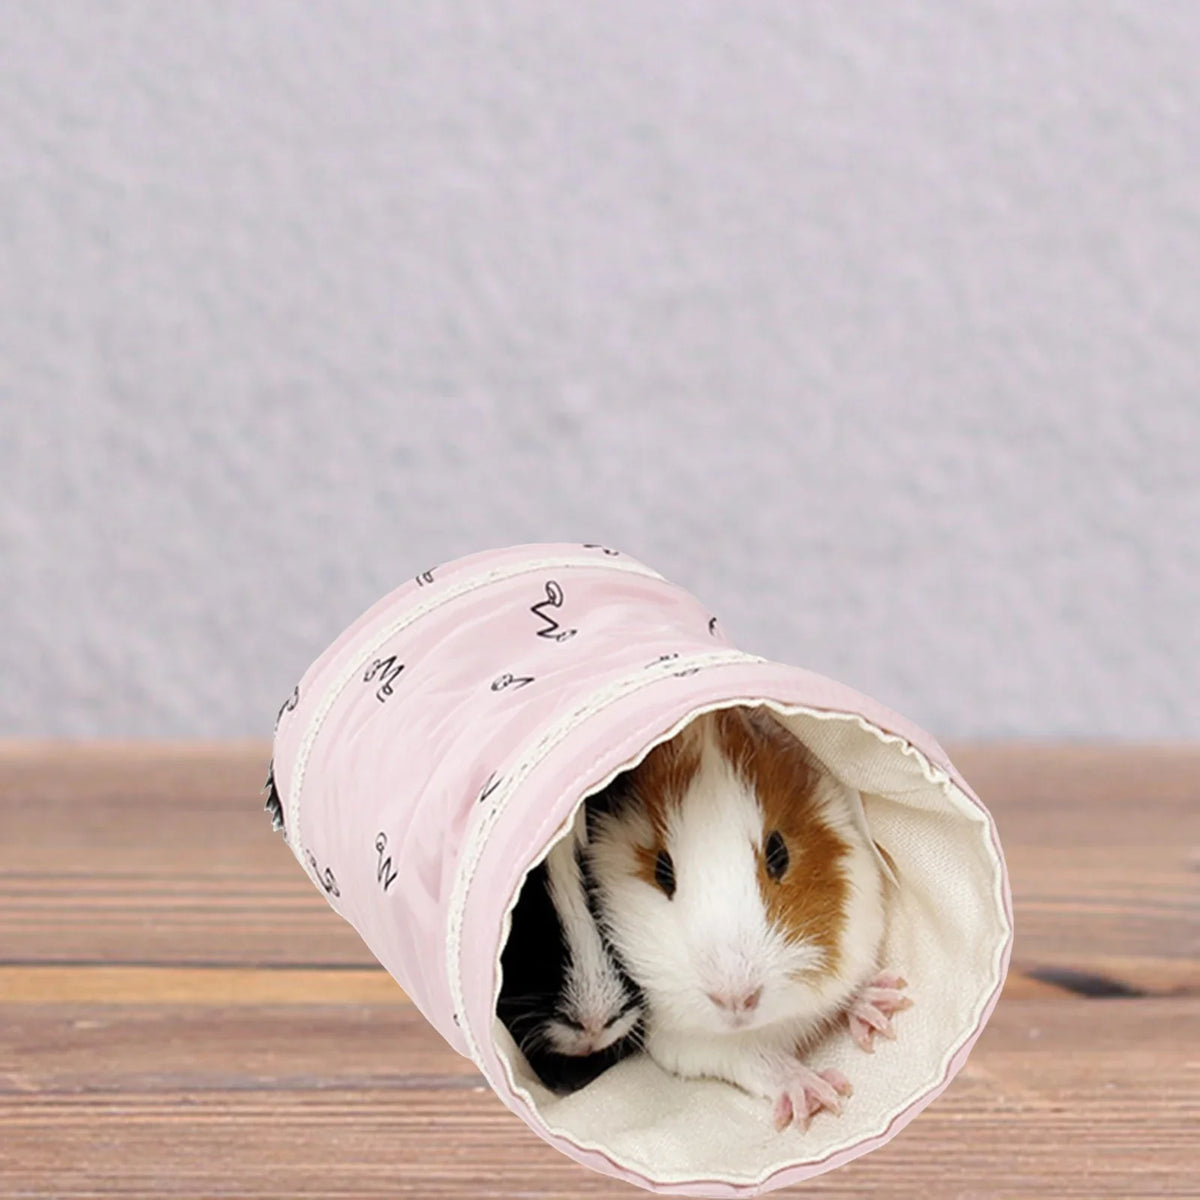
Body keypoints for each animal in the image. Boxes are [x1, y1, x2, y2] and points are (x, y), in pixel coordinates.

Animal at [586, 705, 911, 1131]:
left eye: (778, 853)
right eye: (662, 871)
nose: (736, 1000)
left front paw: (886, 1004)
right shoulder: (689, 1042)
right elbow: (760, 1062)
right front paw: (820, 1097)